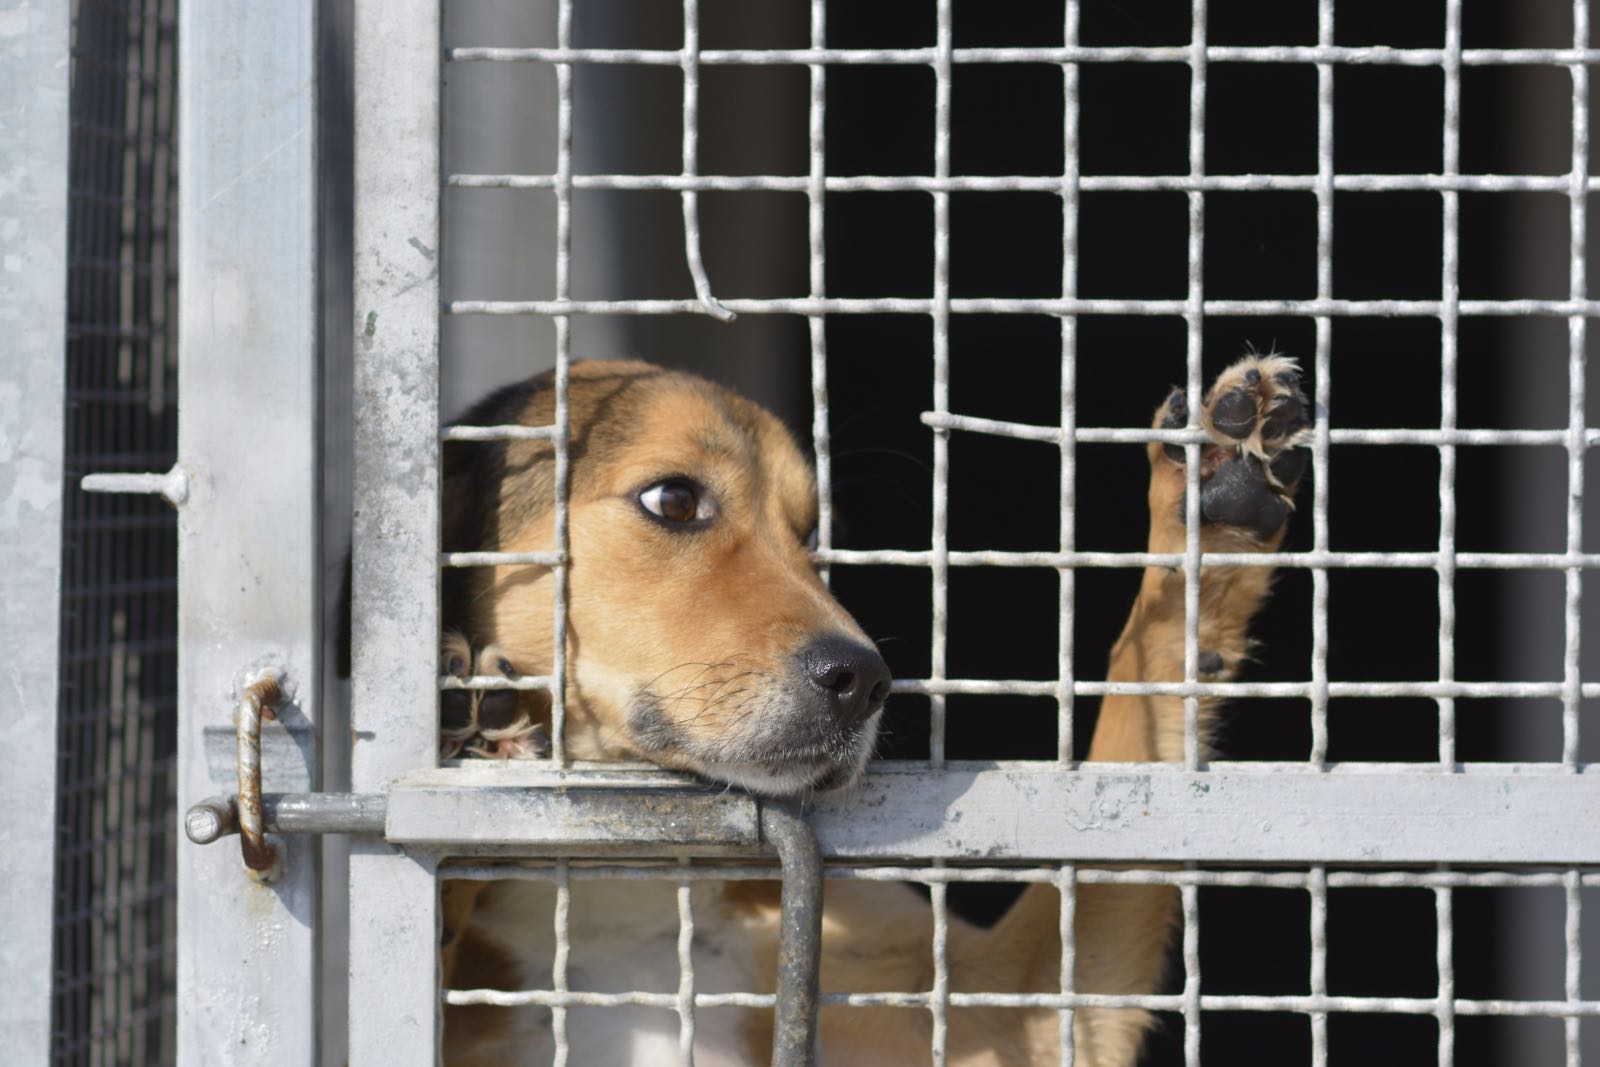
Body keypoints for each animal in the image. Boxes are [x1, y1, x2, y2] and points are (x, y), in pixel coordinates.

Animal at [435, 355, 1299, 1062]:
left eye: (815, 533)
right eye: (673, 500)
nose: (868, 681)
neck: (627, 888)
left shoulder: (1018, 1014)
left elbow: (1131, 736)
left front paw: (1209, 516)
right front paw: (470, 724)